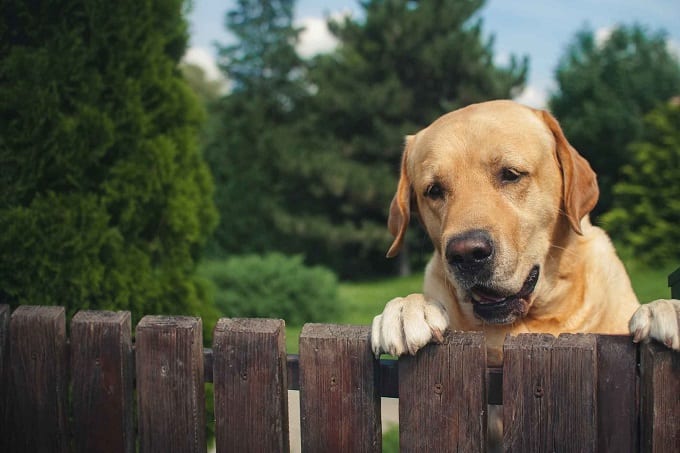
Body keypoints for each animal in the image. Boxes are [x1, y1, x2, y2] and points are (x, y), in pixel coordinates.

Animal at [372, 99, 680, 364]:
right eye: (433, 190)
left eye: (510, 174)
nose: (466, 254)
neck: (537, 317)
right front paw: (407, 308)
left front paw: (666, 307)